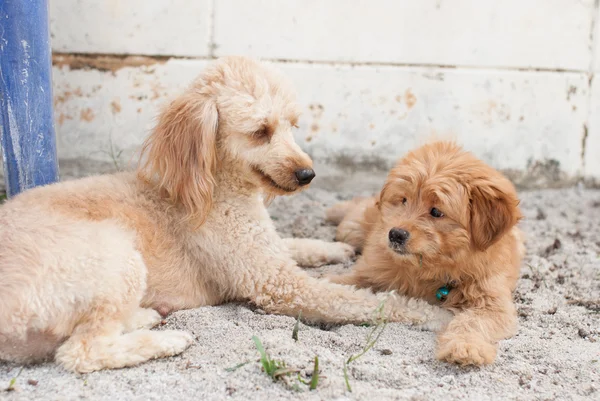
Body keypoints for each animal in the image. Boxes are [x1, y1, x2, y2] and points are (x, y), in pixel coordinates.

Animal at [0, 55, 450, 372]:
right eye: (260, 132)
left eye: (292, 125)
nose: (308, 174)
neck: (218, 189)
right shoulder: (277, 283)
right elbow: (371, 303)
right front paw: (435, 315)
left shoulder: (266, 249)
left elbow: (296, 244)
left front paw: (333, 248)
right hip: (113, 256)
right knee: (80, 352)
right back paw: (167, 340)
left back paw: (144, 317)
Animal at [328, 141, 524, 366]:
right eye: (403, 200)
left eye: (436, 212)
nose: (395, 234)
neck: (428, 268)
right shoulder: (372, 271)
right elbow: (348, 281)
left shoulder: (492, 301)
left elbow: (473, 321)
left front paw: (465, 346)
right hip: (353, 229)